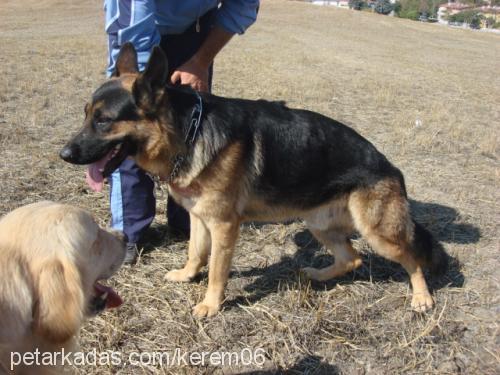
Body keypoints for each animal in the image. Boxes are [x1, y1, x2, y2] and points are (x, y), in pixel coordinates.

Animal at [60, 44, 448, 320]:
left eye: (104, 121)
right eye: (85, 115)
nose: (64, 153)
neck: (188, 133)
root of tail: (391, 167)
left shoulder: (224, 227)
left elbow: (217, 270)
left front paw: (211, 305)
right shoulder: (200, 219)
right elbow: (195, 252)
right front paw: (187, 275)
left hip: (378, 233)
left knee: (412, 257)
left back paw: (421, 297)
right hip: (319, 224)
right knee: (352, 259)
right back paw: (318, 275)